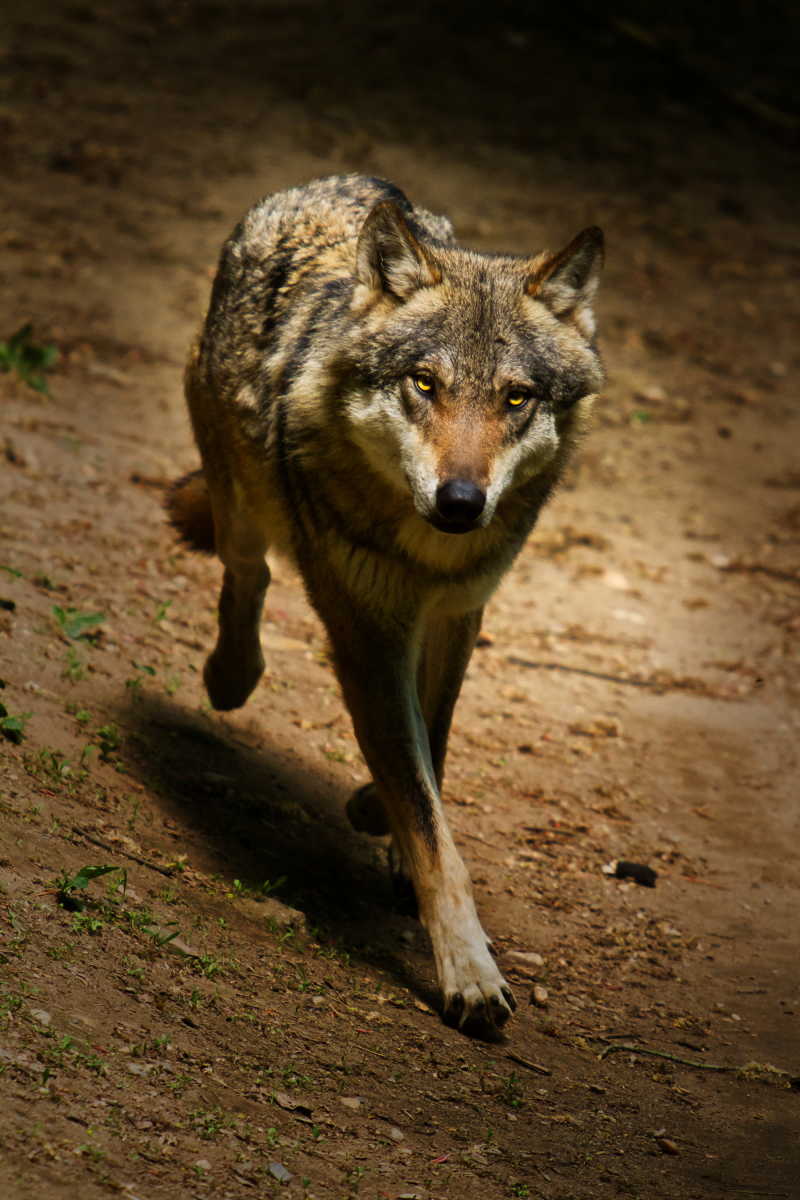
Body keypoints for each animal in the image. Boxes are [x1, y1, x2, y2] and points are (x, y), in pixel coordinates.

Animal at [170, 174, 606, 1036]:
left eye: (516, 399)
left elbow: (431, 745)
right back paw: (228, 678)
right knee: (248, 576)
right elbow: (432, 823)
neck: (426, 552)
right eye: (426, 384)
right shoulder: (369, 635)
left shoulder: (459, 610)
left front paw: (381, 817)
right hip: (240, 504)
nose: (462, 501)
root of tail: (338, 183)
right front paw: (469, 972)